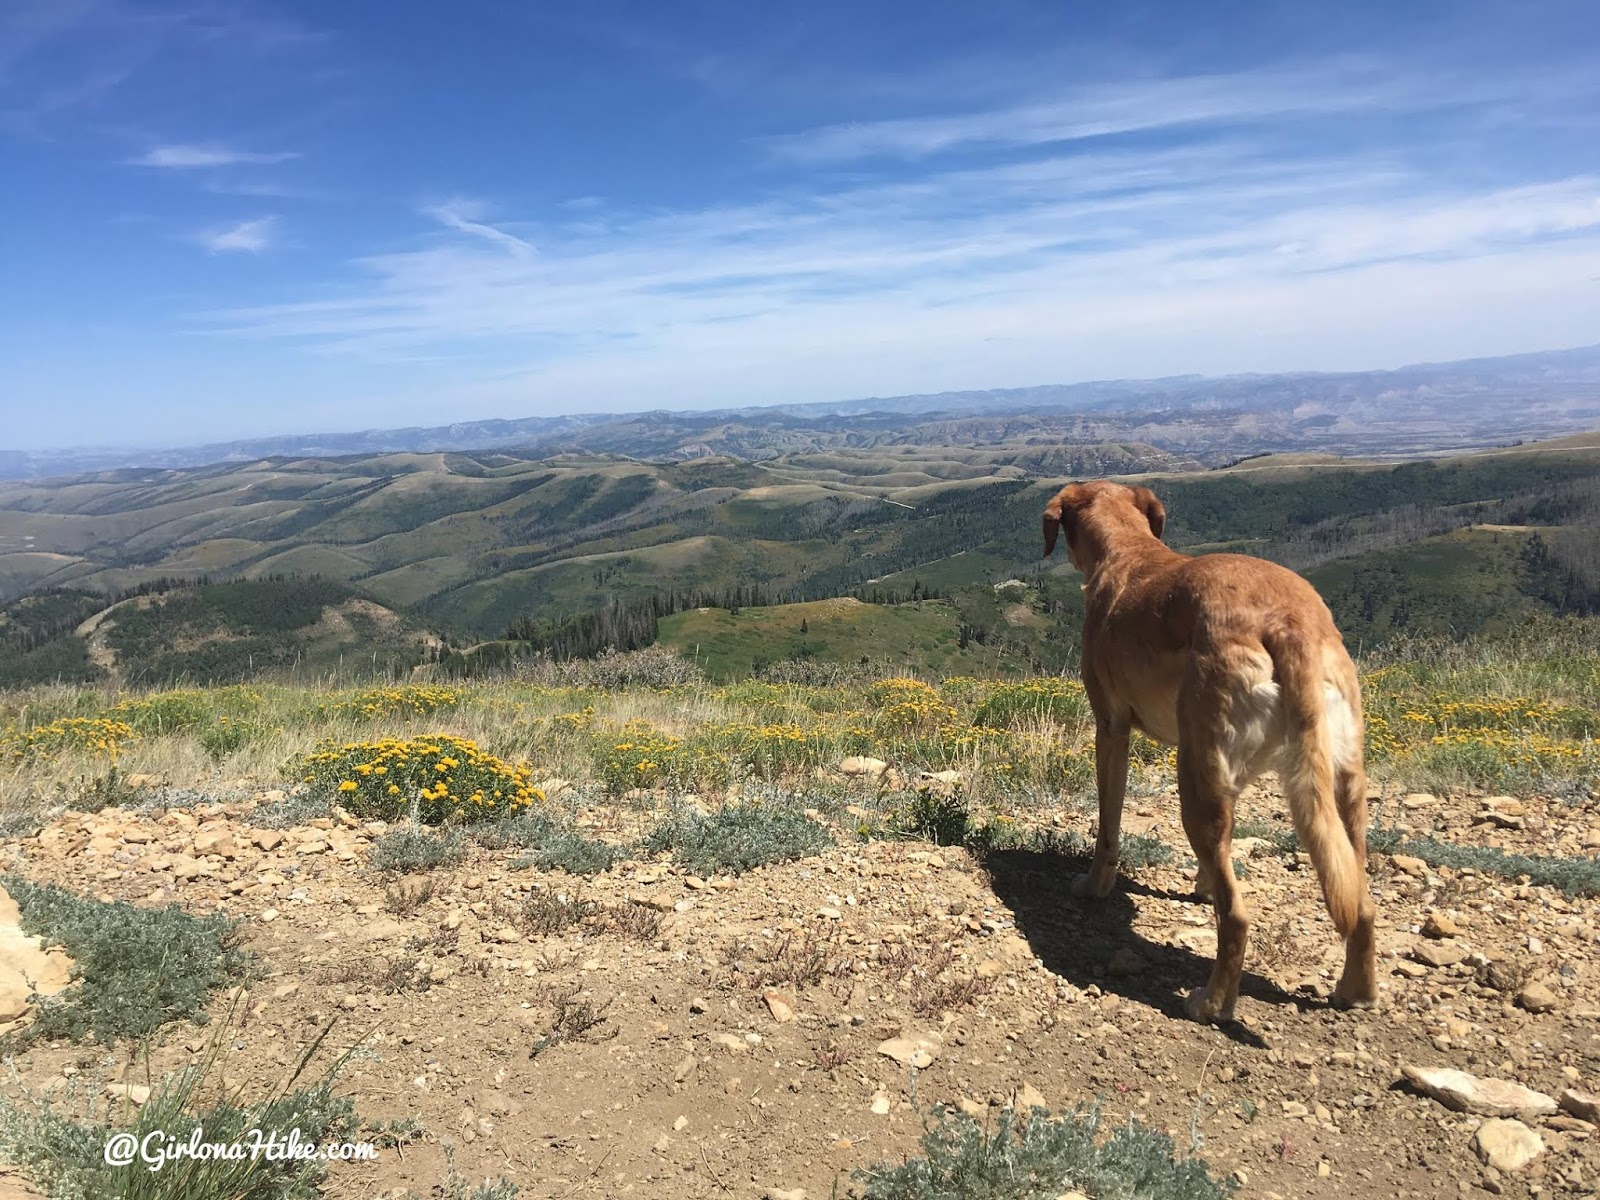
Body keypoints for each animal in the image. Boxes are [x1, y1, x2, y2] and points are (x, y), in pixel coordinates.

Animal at [1049, 480, 1376, 1024]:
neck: (1129, 549)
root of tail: (1289, 620)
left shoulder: (1112, 729)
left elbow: (1109, 826)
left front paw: (1094, 886)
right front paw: (1202, 882)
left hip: (1195, 782)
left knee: (1237, 915)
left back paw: (1211, 1003)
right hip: (1343, 785)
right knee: (1362, 900)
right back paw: (1358, 989)